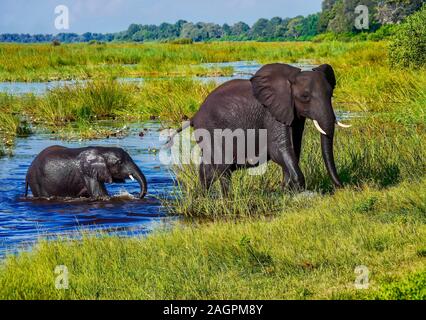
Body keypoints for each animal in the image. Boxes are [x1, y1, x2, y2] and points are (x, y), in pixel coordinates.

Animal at [170, 62, 350, 192]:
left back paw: (204, 198)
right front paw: (296, 189)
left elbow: (294, 149)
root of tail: (194, 116)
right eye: (305, 96)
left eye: (331, 94)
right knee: (222, 168)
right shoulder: (271, 113)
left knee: (208, 170)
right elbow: (280, 150)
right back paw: (227, 201)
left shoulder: (293, 115)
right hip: (210, 130)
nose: (342, 187)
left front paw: (286, 191)